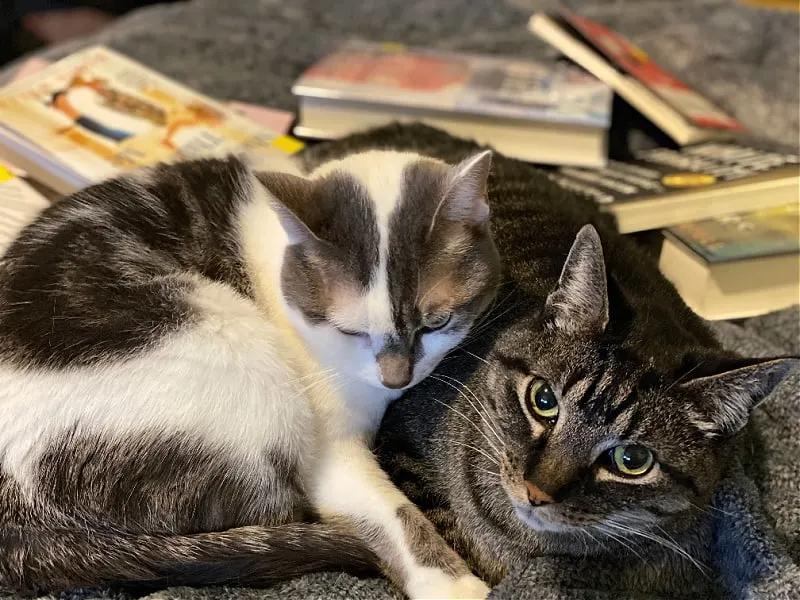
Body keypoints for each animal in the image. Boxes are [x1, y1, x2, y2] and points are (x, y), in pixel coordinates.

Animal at [0, 148, 500, 596]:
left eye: (436, 323)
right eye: (350, 330)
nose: (397, 379)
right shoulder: (328, 454)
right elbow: (393, 513)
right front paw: (454, 585)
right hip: (245, 370)